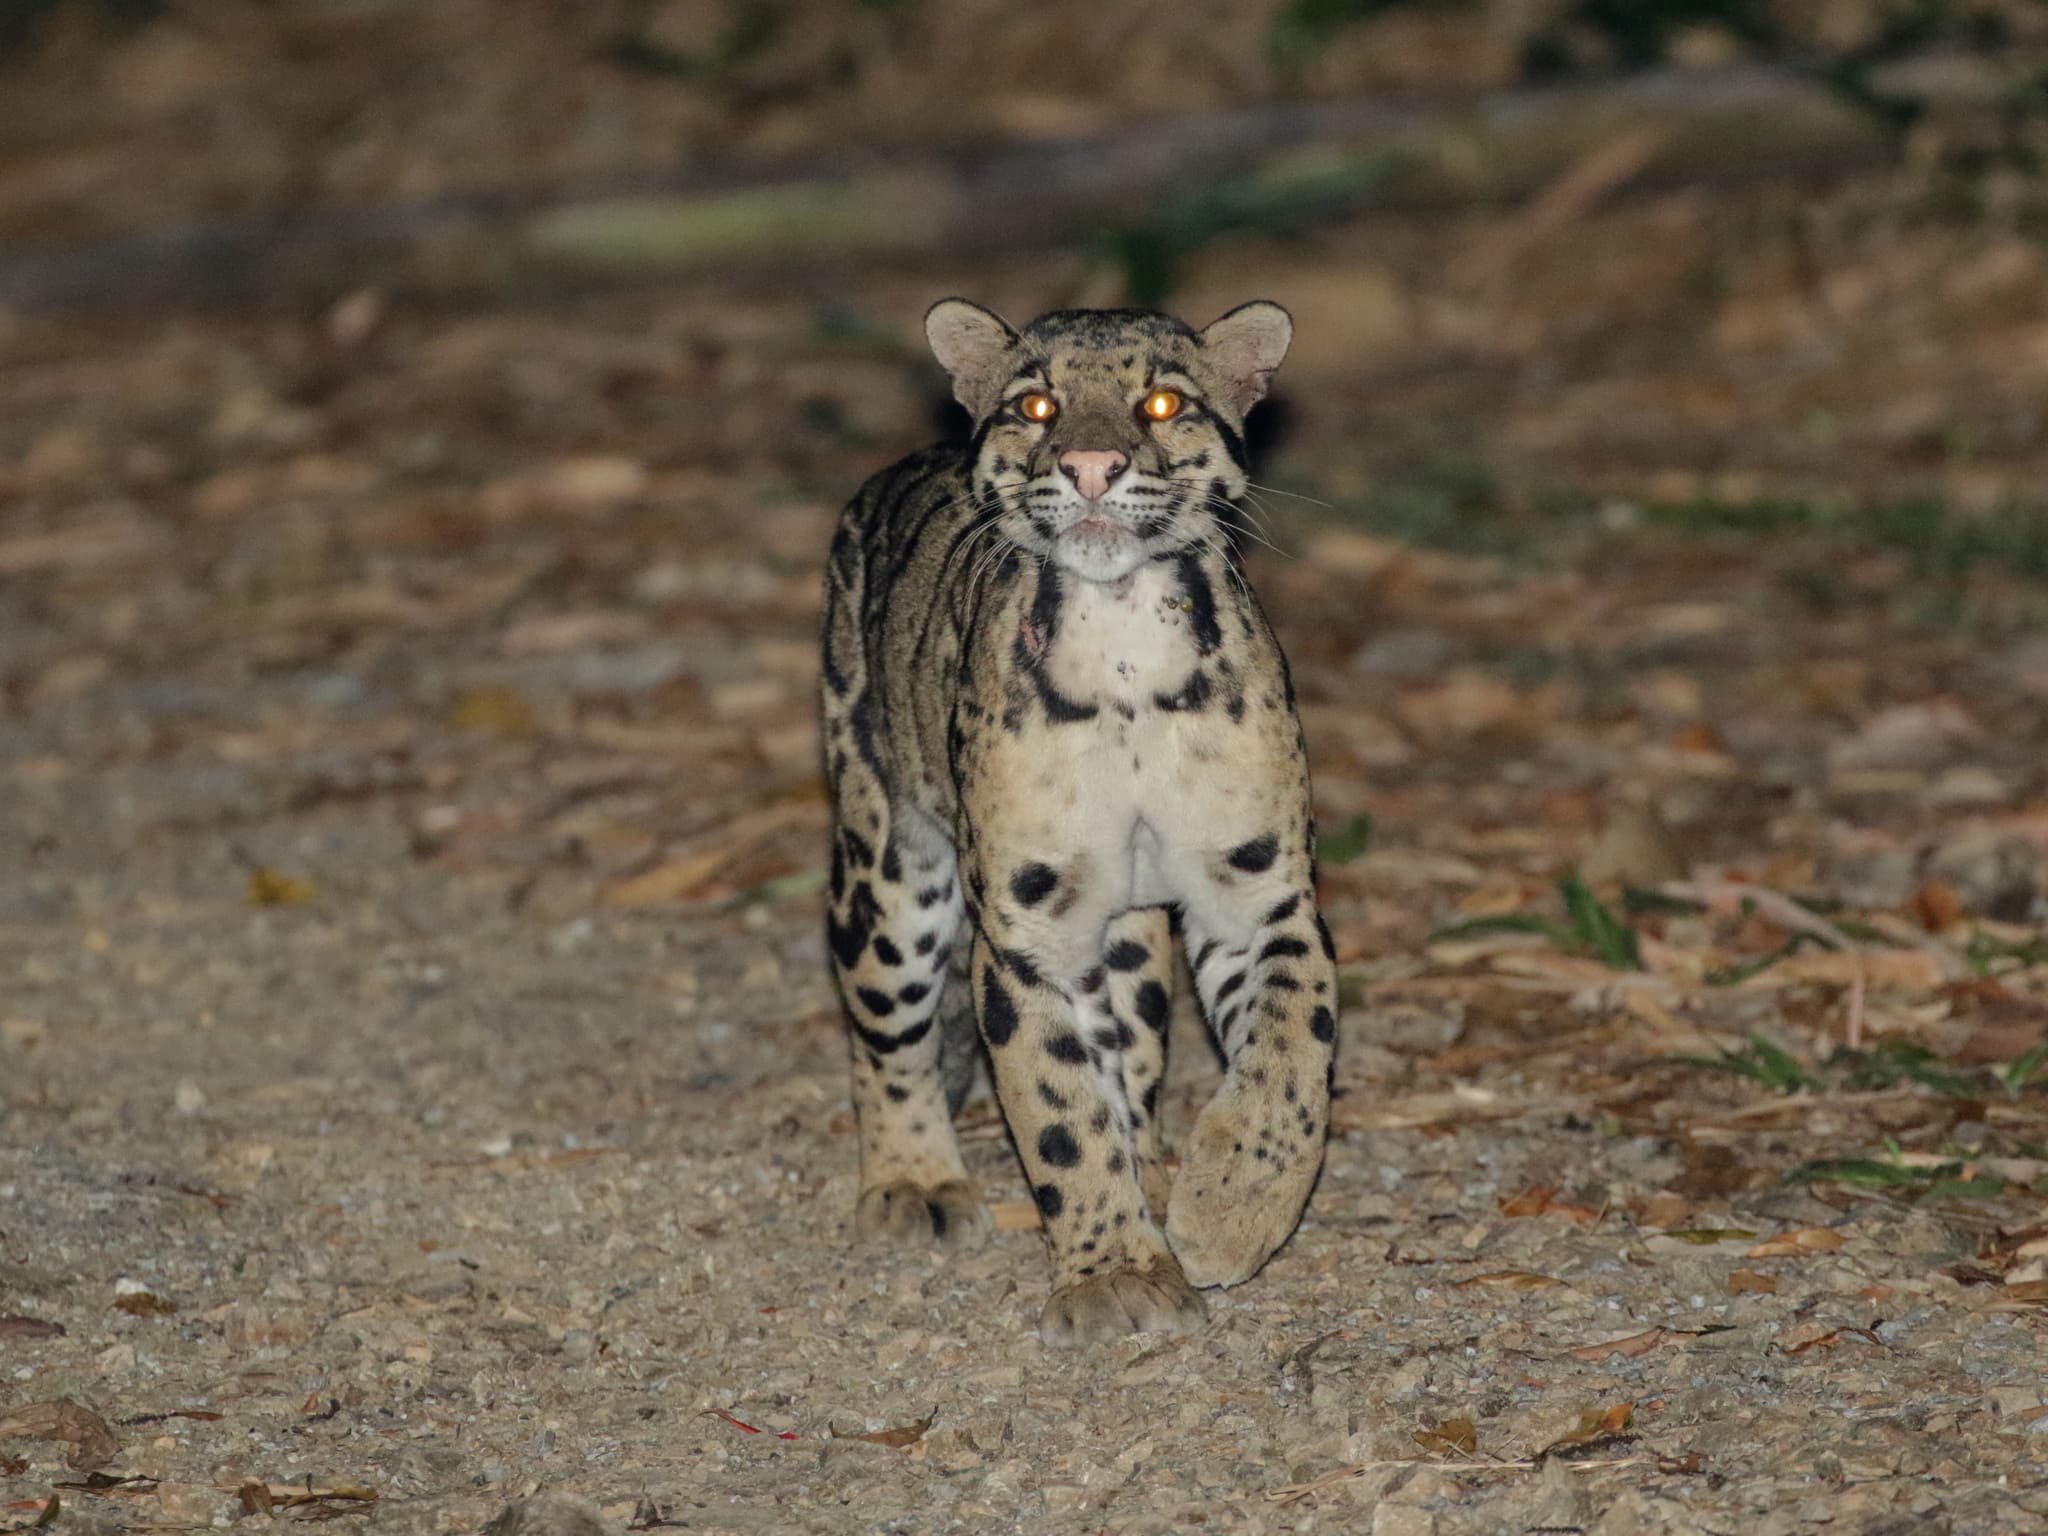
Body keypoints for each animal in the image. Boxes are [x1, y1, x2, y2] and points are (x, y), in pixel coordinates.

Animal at [819, 298, 1338, 1345]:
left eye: (1162, 402)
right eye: (1037, 404)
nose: (1091, 464)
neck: (1124, 643)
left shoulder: (1258, 890)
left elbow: (1294, 1053)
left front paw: (1230, 1212)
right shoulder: (1023, 930)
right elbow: (1057, 1106)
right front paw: (1113, 1272)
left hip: (1127, 926)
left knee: (1130, 1044)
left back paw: (1158, 1170)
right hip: (887, 863)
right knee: (884, 1027)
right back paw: (912, 1179)